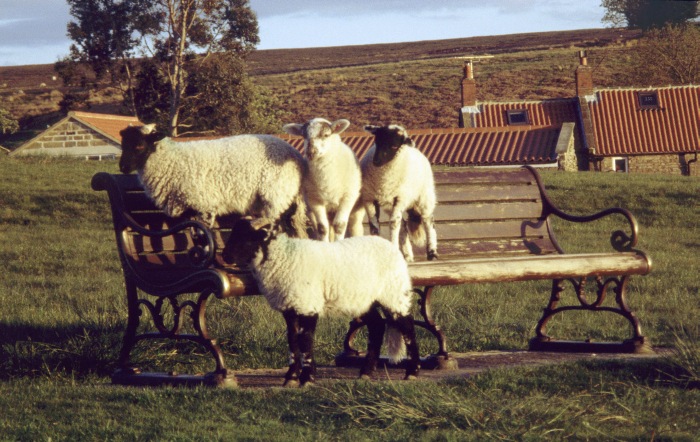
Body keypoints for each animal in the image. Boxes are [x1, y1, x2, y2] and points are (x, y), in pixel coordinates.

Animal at [119, 122, 308, 237]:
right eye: (123, 145)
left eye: (139, 145)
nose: (123, 168)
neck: (171, 161)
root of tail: (295, 155)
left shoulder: (204, 204)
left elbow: (203, 233)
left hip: (276, 194)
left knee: (274, 221)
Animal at [223, 218, 422, 386]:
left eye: (246, 236)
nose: (224, 256)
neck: (283, 257)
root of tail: (390, 245)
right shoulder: (290, 306)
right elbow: (292, 340)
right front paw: (291, 377)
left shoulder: (307, 304)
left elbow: (305, 340)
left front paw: (307, 378)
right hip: (363, 300)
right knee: (377, 326)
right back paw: (366, 371)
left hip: (393, 292)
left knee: (407, 326)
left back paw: (412, 372)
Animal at [352, 123, 440, 262]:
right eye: (376, 141)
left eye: (394, 145)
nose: (376, 161)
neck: (383, 180)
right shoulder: (369, 198)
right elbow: (374, 225)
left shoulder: (400, 198)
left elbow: (393, 223)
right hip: (390, 203)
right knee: (403, 225)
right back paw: (407, 255)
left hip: (425, 196)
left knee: (427, 221)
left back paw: (432, 252)